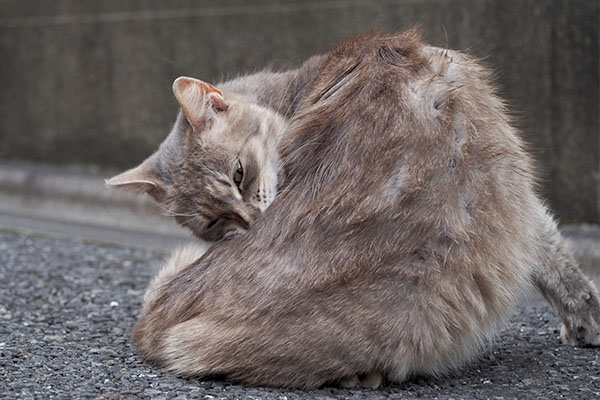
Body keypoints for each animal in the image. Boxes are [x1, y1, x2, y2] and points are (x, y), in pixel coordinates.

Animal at [109, 31, 600, 388]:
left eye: (239, 173)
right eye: (214, 223)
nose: (251, 223)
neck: (290, 89)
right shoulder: (520, 195)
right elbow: (551, 250)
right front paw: (585, 317)